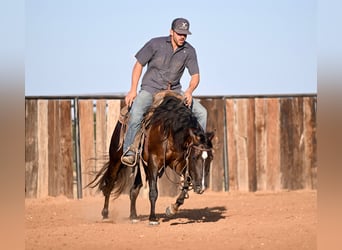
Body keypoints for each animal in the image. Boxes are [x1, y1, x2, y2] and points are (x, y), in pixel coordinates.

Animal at [87, 91, 214, 225]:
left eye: (210, 158)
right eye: (194, 157)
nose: (201, 188)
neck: (170, 129)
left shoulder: (179, 163)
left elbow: (186, 184)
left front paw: (172, 209)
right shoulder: (153, 161)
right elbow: (153, 191)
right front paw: (153, 218)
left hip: (141, 166)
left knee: (134, 190)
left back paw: (133, 216)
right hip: (116, 159)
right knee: (109, 184)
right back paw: (105, 214)